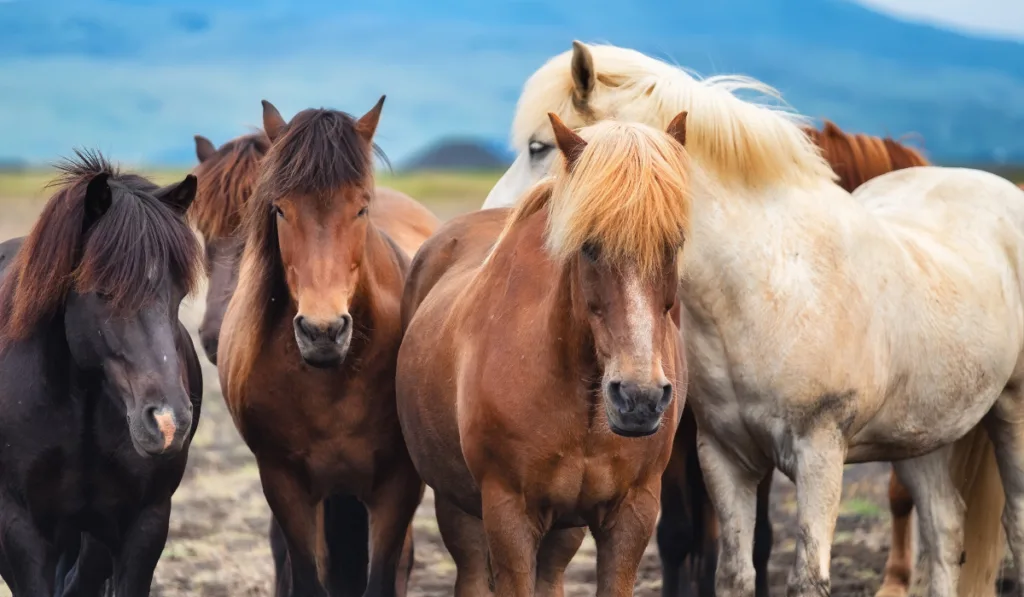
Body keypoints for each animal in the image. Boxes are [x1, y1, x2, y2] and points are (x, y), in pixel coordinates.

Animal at [395, 113, 692, 597]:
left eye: (674, 243)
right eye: (589, 245)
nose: (639, 397)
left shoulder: (634, 514)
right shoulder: (508, 513)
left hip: (563, 530)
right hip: (458, 508)